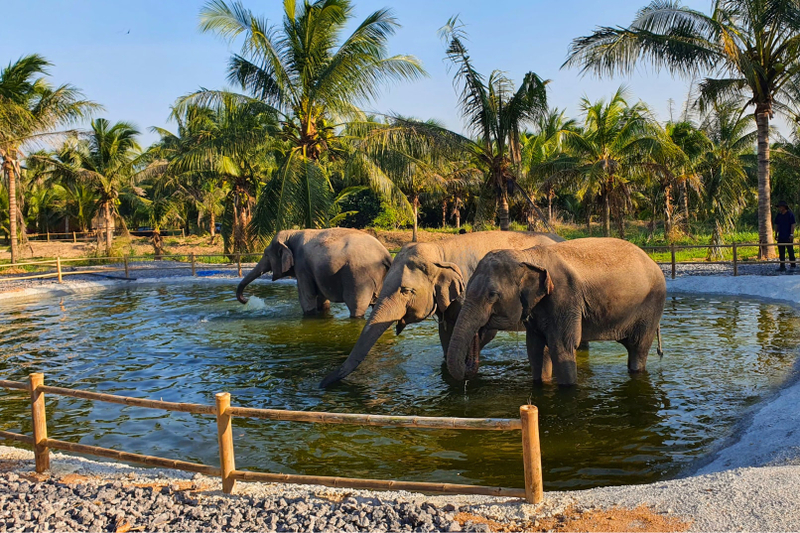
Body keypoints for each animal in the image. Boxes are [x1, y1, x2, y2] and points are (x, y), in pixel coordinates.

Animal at [236, 228, 392, 318]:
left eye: (266, 255)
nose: (248, 299)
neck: (291, 233)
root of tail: (385, 254)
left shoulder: (302, 266)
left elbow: (307, 296)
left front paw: (309, 315)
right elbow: (321, 298)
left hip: (358, 277)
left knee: (356, 306)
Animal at [446, 237, 666, 385]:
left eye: (492, 295)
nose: (479, 330)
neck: (526, 255)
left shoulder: (564, 297)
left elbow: (561, 347)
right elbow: (536, 348)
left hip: (651, 305)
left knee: (638, 347)